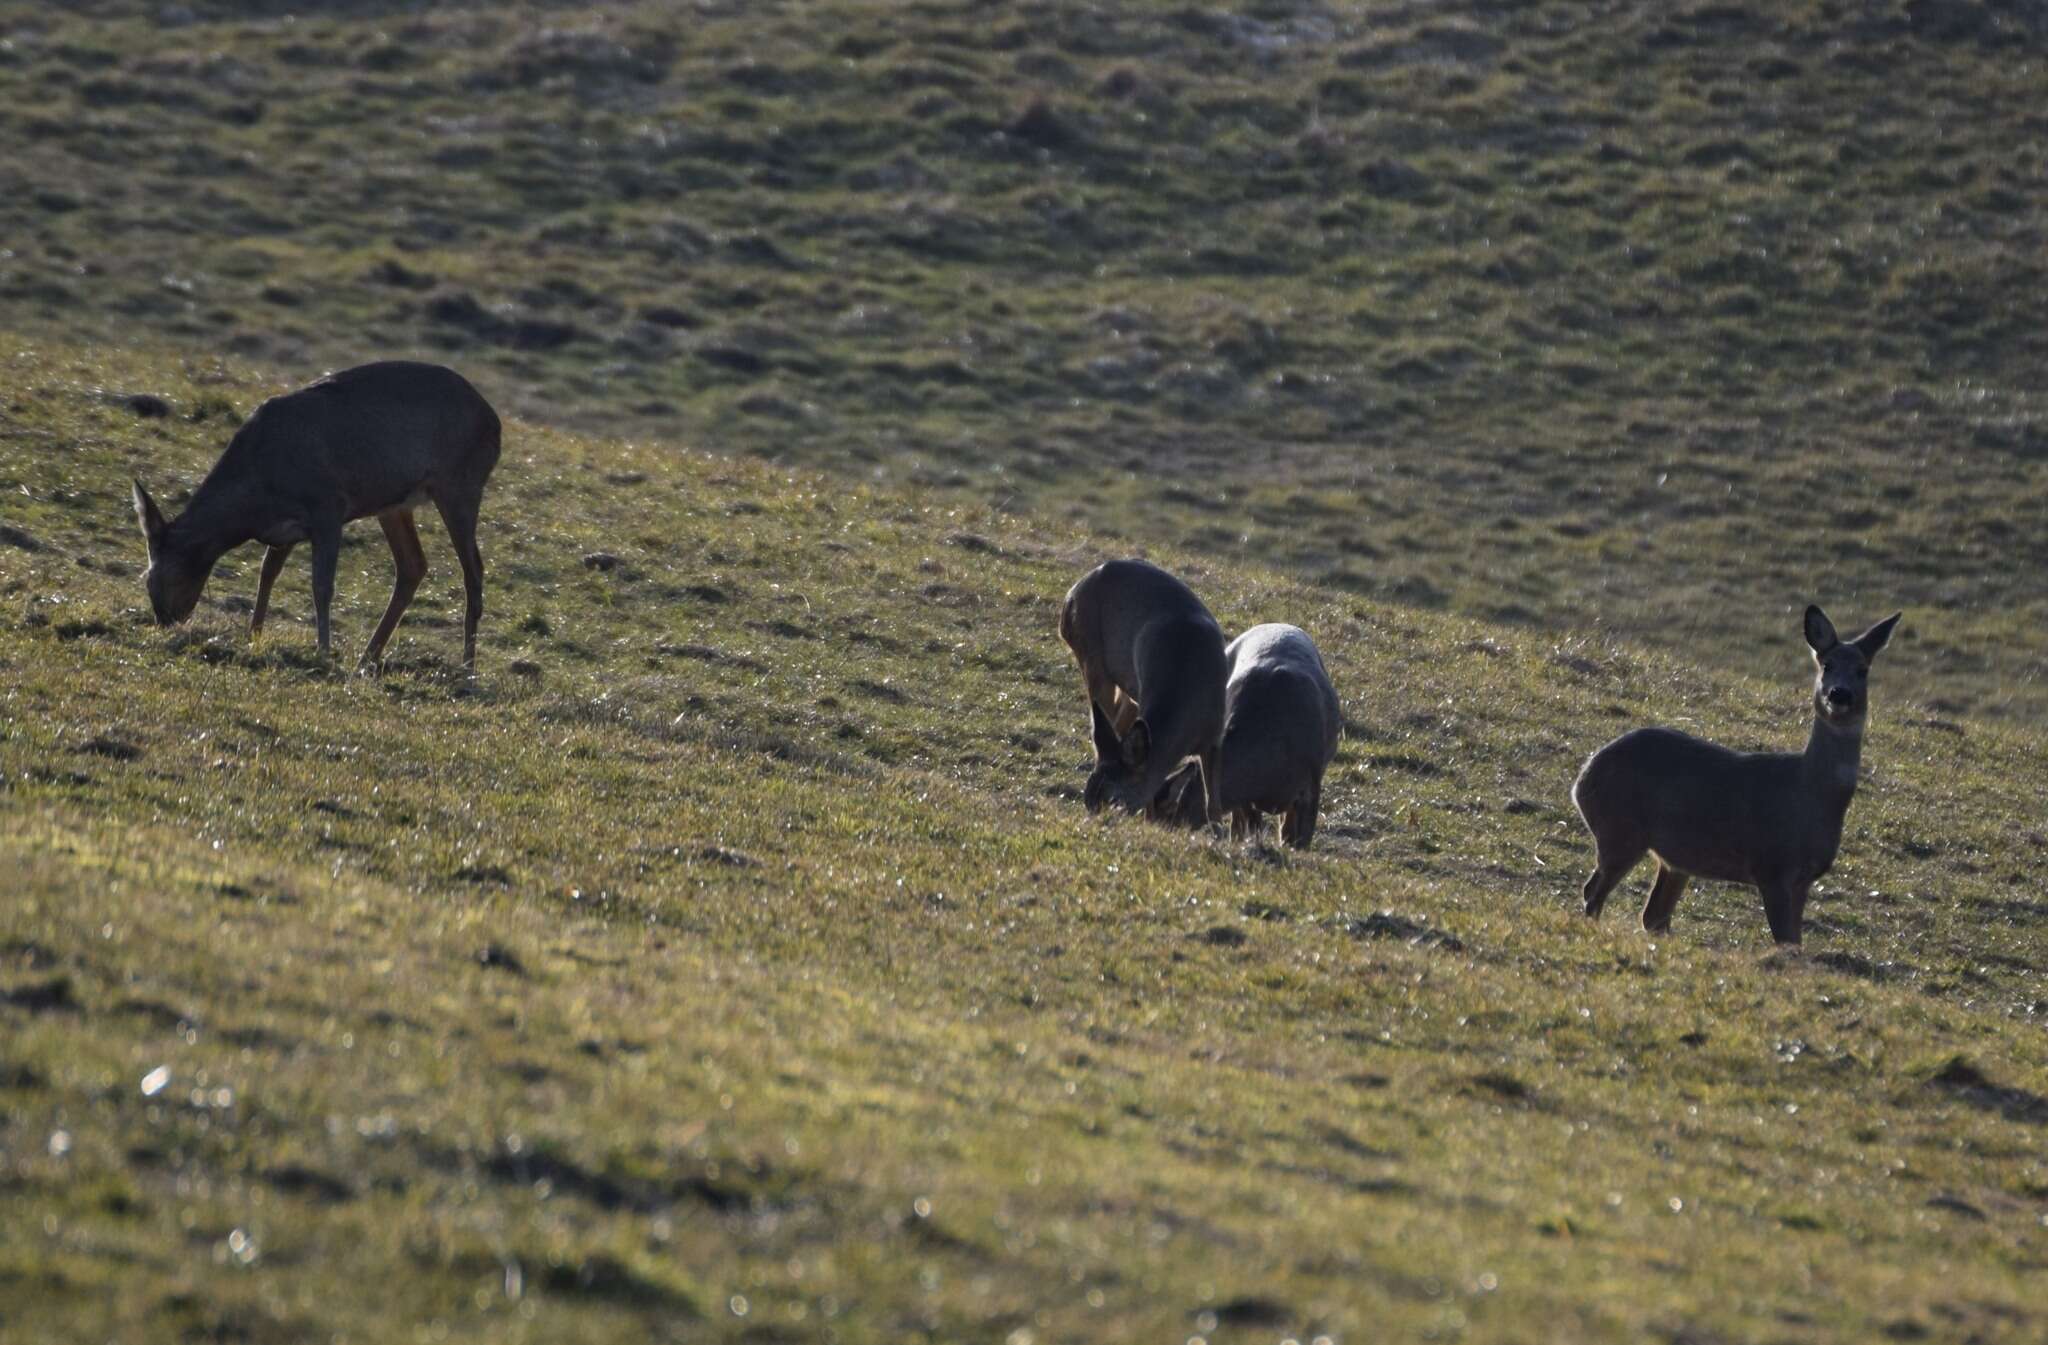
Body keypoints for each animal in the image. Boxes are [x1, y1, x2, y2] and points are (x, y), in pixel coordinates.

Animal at [133, 362, 499, 671]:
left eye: (155, 577)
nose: (165, 620)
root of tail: (495, 424)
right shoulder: (284, 529)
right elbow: (267, 573)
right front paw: (254, 635)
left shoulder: (328, 507)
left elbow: (321, 585)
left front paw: (322, 649)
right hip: (394, 505)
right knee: (413, 565)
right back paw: (368, 656)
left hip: (460, 484)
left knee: (473, 569)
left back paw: (467, 665)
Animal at [1056, 556, 1228, 818]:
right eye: (1087, 800)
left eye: (1114, 800)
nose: (1094, 820)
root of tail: (1071, 594)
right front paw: (1148, 818)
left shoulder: (1215, 735)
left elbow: (1214, 803)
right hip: (1091, 657)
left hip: (1127, 689)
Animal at [1155, 622, 1343, 851]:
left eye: (1162, 813)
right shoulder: (1247, 798)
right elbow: (1251, 824)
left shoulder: (1311, 782)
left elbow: (1300, 834)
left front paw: (1293, 848)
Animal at [1564, 610, 1900, 945]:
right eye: (1826, 665)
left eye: (1862, 670)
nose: (1839, 693)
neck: (1810, 795)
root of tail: (1582, 778)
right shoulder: (1771, 866)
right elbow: (1785, 941)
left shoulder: (1803, 879)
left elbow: (1795, 941)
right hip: (1620, 829)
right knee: (1595, 891)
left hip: (1674, 856)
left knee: (1652, 915)